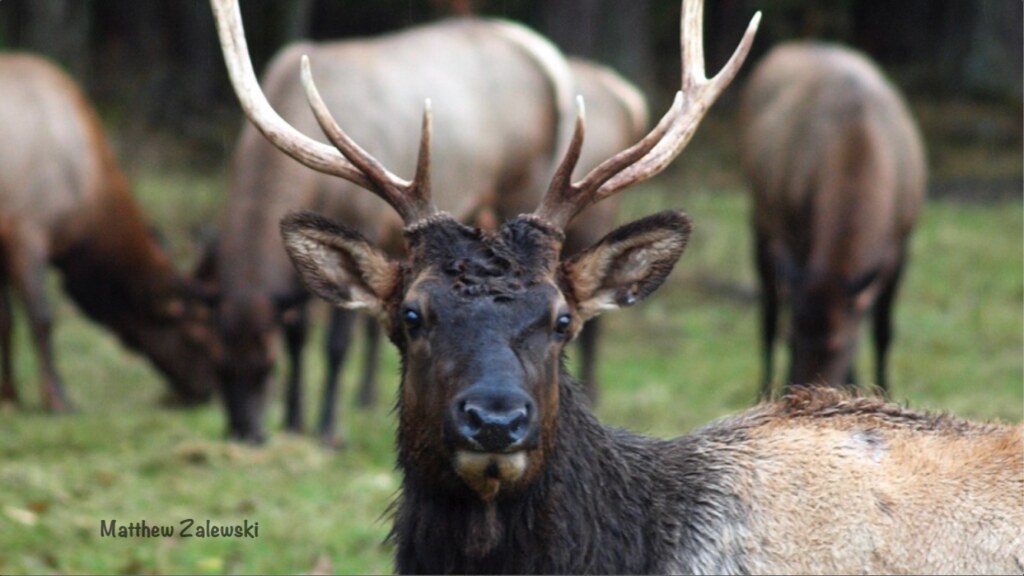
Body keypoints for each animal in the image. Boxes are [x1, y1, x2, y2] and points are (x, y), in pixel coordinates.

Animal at [0, 53, 221, 410]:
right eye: (196, 336)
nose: (206, 391)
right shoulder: (25, 228)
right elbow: (42, 319)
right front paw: (57, 398)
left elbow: (5, 321)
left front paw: (10, 395)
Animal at [739, 42, 927, 399]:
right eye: (791, 338)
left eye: (837, 345)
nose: (798, 394)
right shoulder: (797, 232)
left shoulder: (902, 241)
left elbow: (884, 331)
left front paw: (881, 391)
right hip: (761, 214)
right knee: (767, 312)